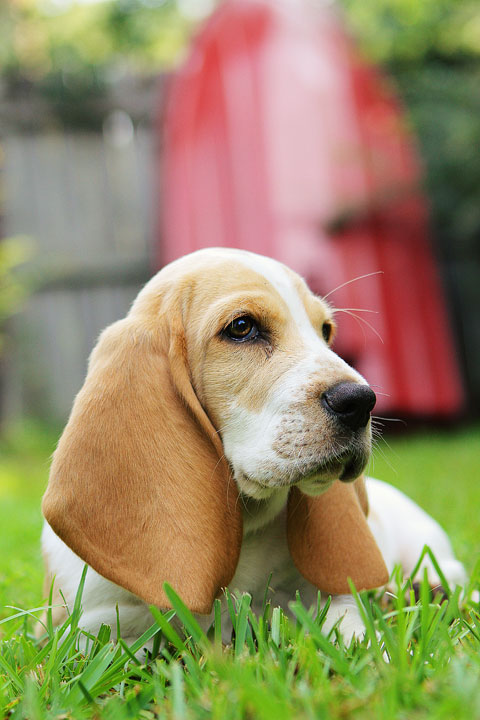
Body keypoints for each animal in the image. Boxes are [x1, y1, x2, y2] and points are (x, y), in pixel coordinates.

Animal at [41, 249, 464, 648]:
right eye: (242, 327)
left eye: (326, 330)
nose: (361, 402)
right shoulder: (85, 626)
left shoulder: (332, 599)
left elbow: (351, 631)